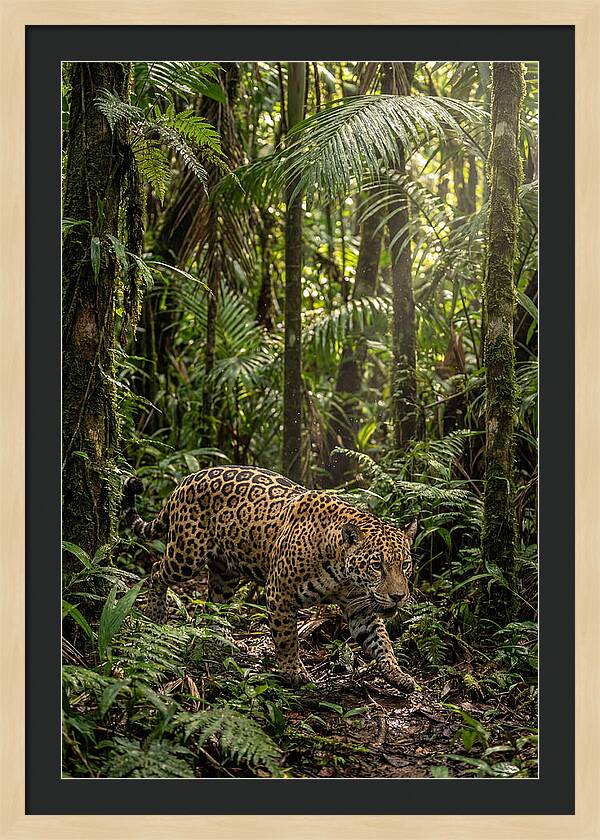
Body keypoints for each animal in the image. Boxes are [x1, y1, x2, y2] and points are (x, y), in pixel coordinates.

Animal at [123, 465, 417, 691]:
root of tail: (186, 480)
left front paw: (397, 674)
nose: (398, 597)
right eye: (377, 565)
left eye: (404, 565)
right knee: (156, 570)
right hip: (186, 555)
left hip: (225, 573)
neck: (343, 574)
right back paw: (156, 614)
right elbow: (287, 638)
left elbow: (381, 640)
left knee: (214, 602)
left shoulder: (360, 608)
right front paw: (294, 673)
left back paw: (222, 638)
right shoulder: (280, 594)